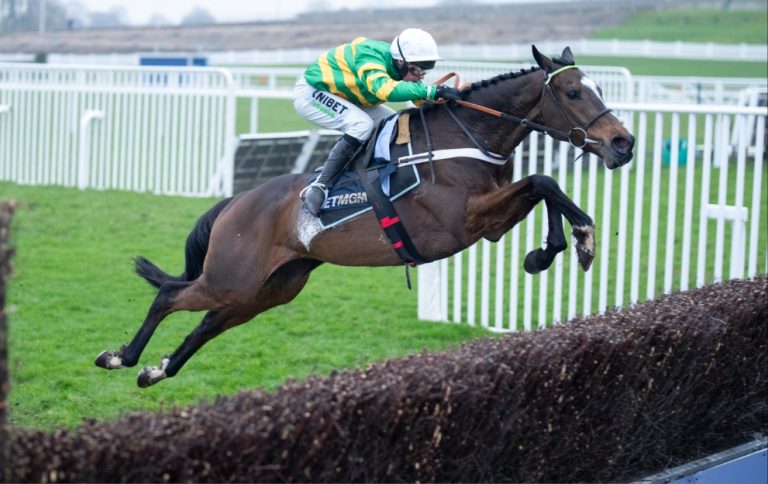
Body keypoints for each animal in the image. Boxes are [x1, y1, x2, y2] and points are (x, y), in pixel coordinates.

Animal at [96, 45, 636, 386]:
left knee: (205, 324)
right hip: (233, 277)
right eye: (573, 93)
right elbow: (545, 182)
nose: (623, 143)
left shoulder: (488, 223)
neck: (464, 138)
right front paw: (580, 240)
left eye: (598, 88)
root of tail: (235, 202)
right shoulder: (461, 222)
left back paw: (156, 370)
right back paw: (121, 356)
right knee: (169, 295)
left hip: (265, 290)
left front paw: (551, 250)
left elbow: (544, 188)